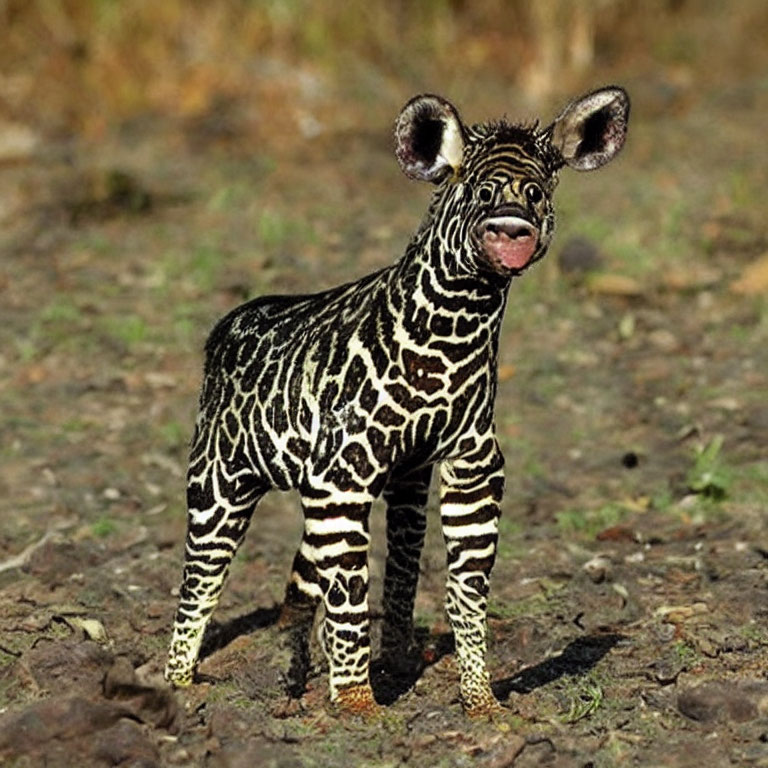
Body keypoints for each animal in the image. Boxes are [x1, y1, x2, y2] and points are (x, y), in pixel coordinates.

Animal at [166, 87, 632, 716]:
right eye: (479, 190)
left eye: (538, 191)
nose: (513, 231)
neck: (449, 341)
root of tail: (226, 325)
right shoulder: (342, 481)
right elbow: (350, 598)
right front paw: (359, 708)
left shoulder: (470, 468)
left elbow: (464, 590)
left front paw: (480, 702)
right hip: (220, 484)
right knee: (201, 580)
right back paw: (182, 686)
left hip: (380, 484)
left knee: (348, 572)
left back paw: (336, 670)